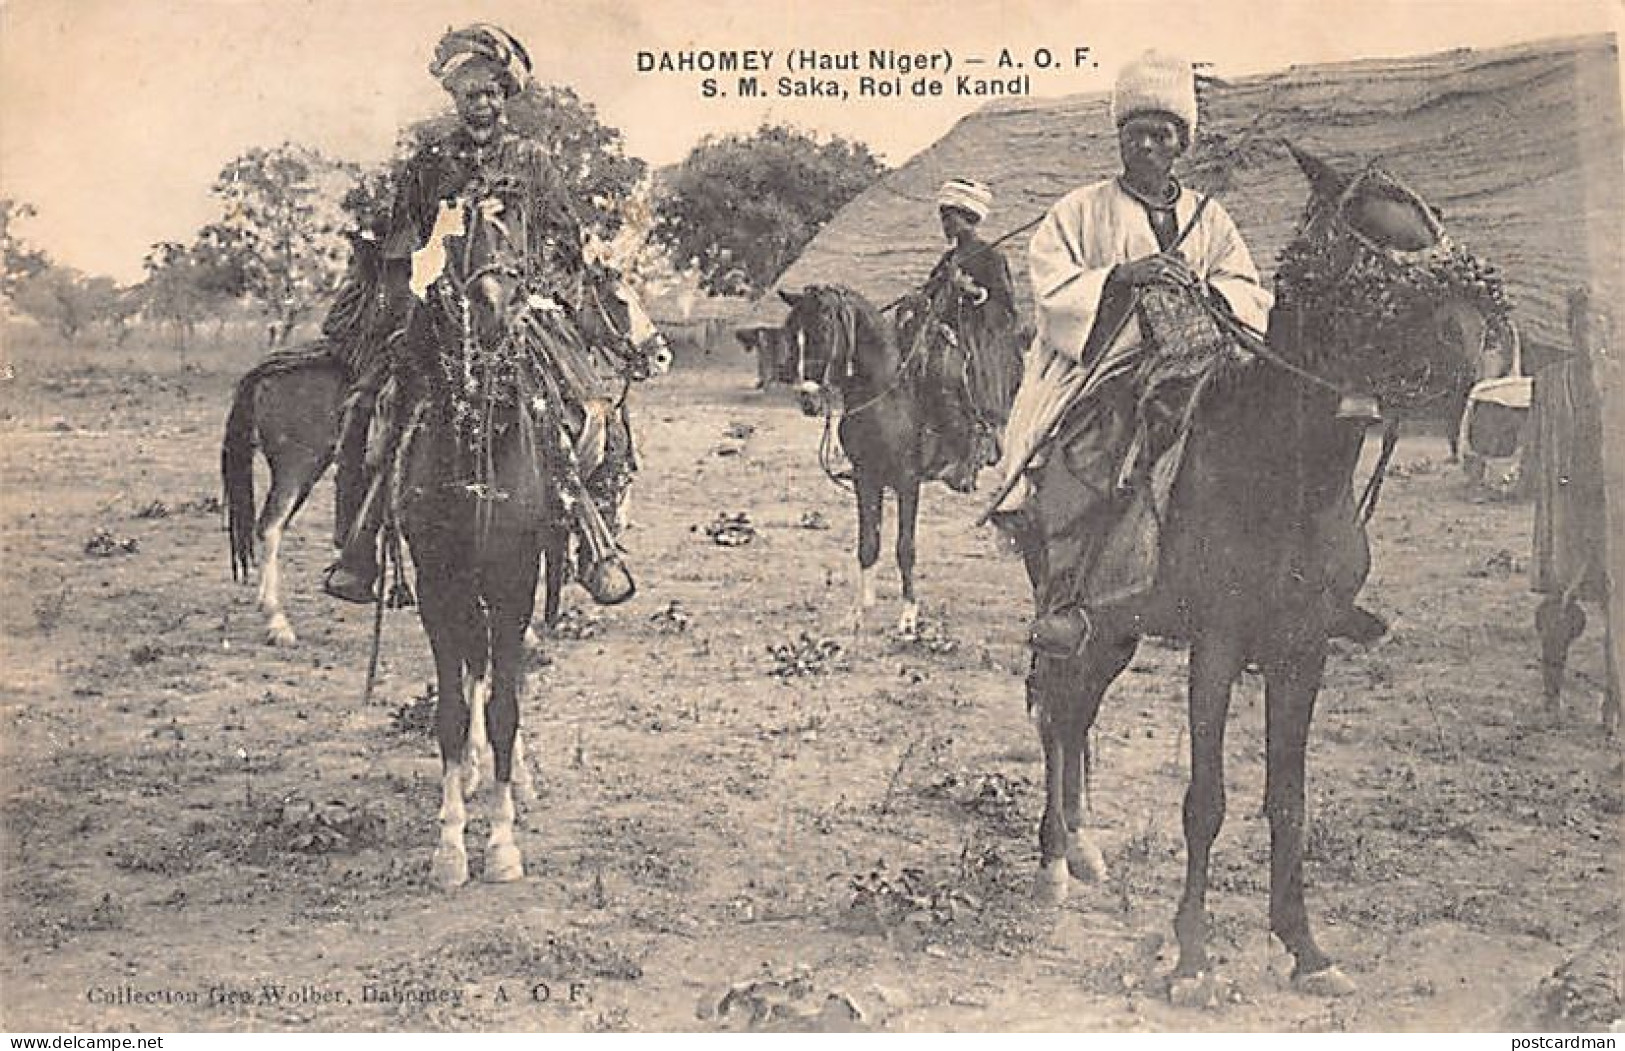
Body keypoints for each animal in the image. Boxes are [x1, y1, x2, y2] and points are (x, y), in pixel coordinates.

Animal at [390, 186, 663, 890]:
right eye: (456, 242)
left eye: (515, 248)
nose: (659, 351)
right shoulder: (440, 589)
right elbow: (454, 711)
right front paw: (450, 845)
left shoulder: (516, 582)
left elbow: (505, 706)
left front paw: (501, 840)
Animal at [1020, 143, 1501, 1000]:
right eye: (1369, 239)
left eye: (1432, 221)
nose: (1475, 341)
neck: (1283, 469)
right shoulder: (1215, 646)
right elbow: (1205, 800)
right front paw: (1189, 956)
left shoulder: (1303, 651)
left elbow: (1287, 800)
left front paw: (1304, 947)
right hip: (1066, 616)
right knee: (1053, 712)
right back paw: (1052, 864)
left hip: (1112, 632)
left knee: (1074, 716)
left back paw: (1081, 846)